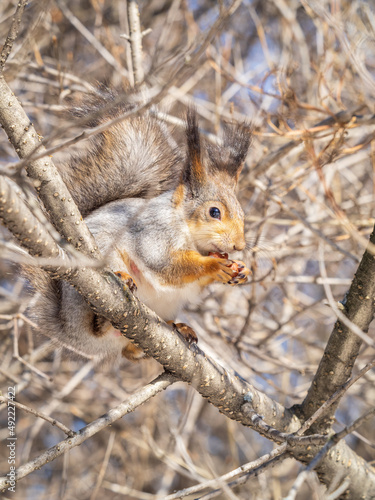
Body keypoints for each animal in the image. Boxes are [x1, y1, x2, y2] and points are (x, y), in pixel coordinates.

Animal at [27, 89, 253, 364]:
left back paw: (177, 328)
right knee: (98, 323)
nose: (239, 245)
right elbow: (166, 264)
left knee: (130, 352)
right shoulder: (154, 231)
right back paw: (109, 309)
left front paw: (241, 270)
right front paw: (214, 265)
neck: (186, 228)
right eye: (214, 212)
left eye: (242, 214)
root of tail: (67, 330)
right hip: (88, 293)